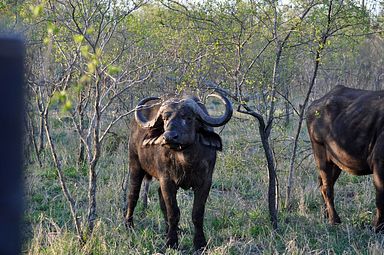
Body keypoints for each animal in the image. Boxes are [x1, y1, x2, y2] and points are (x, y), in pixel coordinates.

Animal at [125, 92, 231, 251]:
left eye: (188, 117)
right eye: (165, 118)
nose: (169, 137)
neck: (186, 161)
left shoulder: (205, 182)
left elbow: (197, 213)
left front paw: (200, 243)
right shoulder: (167, 181)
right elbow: (173, 212)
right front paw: (171, 242)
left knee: (159, 195)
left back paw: (168, 229)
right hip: (135, 165)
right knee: (133, 195)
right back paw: (129, 225)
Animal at [308, 85, 384, 231]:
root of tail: (314, 106)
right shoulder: (379, 164)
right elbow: (381, 198)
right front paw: (377, 227)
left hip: (336, 162)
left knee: (323, 184)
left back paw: (326, 215)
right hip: (321, 155)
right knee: (327, 188)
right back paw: (334, 220)